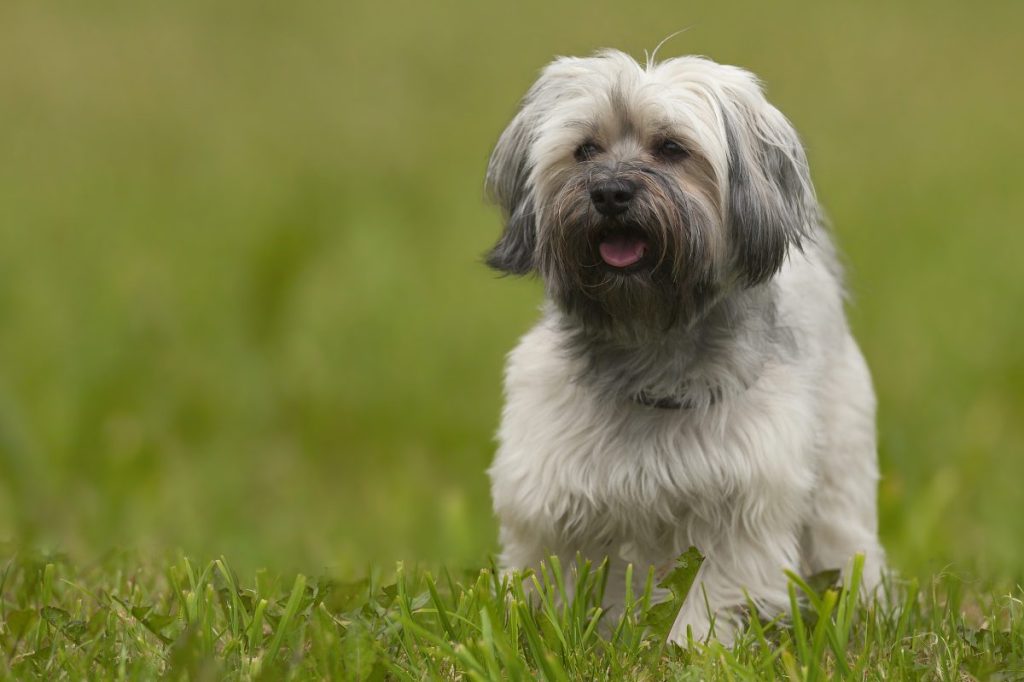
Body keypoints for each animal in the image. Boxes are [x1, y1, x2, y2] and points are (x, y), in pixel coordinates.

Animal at [483, 49, 884, 643]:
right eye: (585, 150)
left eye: (671, 148)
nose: (610, 193)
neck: (649, 340)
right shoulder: (549, 496)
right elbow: (553, 580)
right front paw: (548, 635)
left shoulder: (740, 503)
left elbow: (710, 596)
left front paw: (689, 647)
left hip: (840, 463)